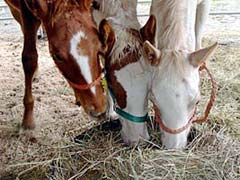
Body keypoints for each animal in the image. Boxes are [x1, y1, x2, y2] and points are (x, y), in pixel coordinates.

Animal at [4, 0, 109, 129]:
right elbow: (29, 59)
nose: (99, 110)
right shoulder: (27, 13)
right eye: (57, 56)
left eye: (99, 47)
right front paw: (28, 120)